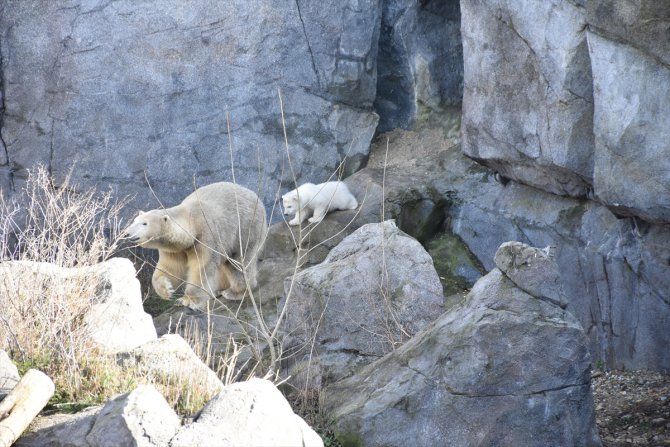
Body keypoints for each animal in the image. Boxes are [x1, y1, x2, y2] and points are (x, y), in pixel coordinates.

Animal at [124, 183, 266, 312]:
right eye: (134, 221)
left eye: (144, 223)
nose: (127, 233)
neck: (191, 220)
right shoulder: (174, 249)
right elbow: (170, 267)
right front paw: (167, 290)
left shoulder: (205, 236)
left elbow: (202, 267)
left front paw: (188, 300)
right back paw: (218, 290)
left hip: (247, 228)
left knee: (238, 262)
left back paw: (235, 292)